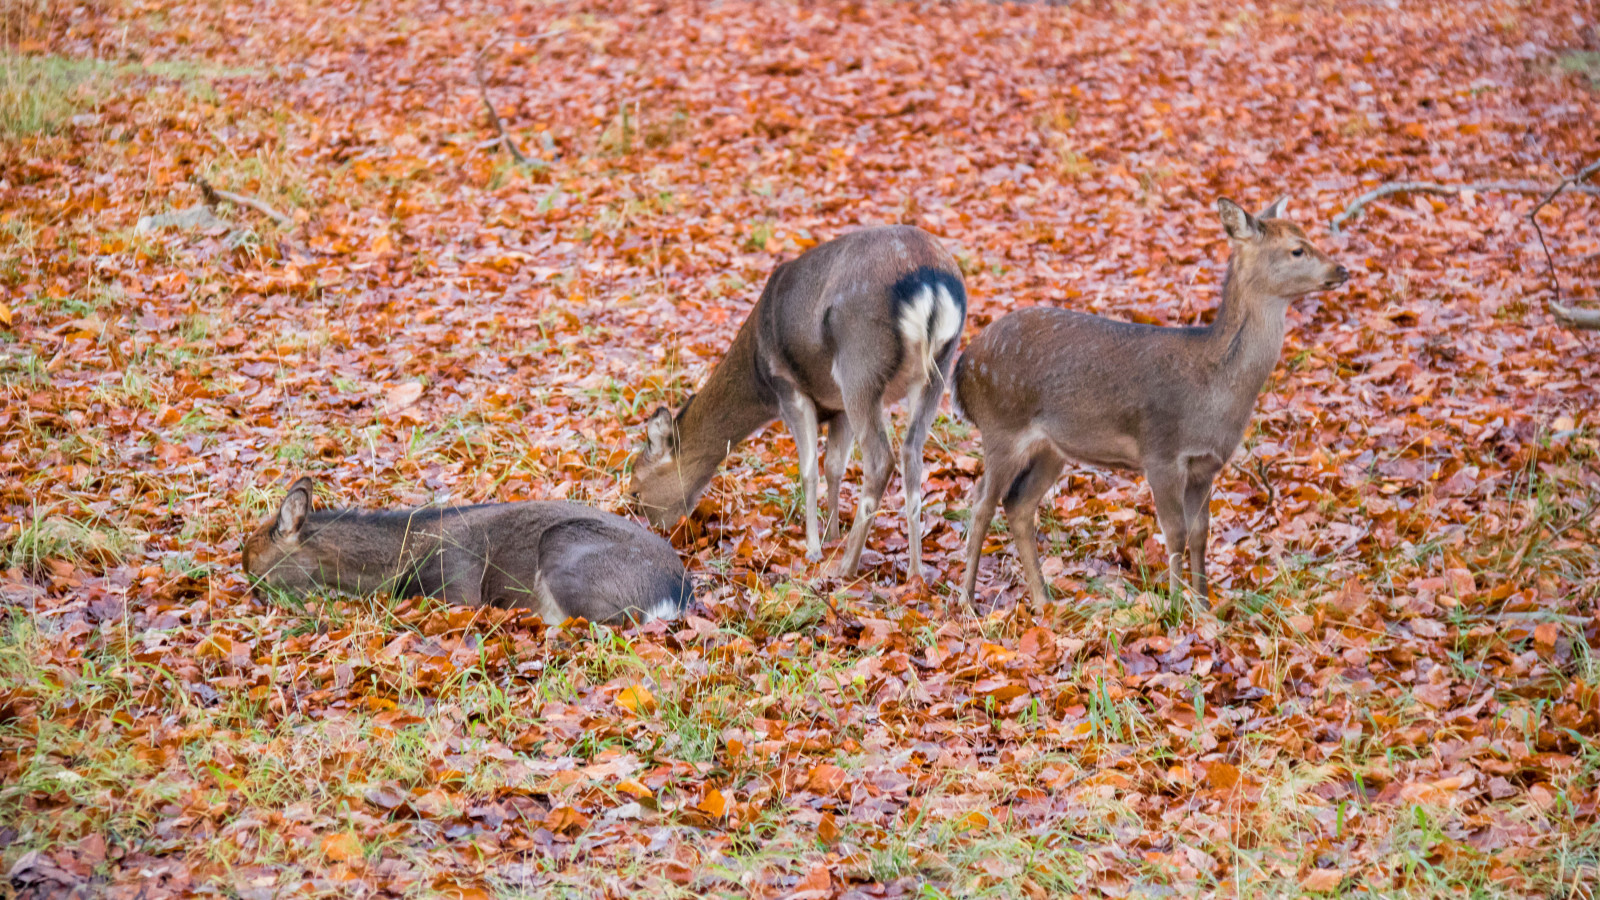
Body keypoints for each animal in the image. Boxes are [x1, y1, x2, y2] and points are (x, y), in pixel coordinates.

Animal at [627, 225, 967, 580]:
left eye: (636, 491)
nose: (661, 532)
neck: (758, 374)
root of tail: (932, 283)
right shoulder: (837, 407)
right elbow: (834, 467)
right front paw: (831, 535)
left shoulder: (789, 389)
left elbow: (809, 470)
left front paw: (814, 548)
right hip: (937, 369)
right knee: (912, 454)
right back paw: (915, 572)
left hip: (860, 365)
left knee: (880, 459)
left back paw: (845, 568)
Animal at [955, 197, 1349, 607]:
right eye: (1297, 249)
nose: (1342, 269)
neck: (1212, 392)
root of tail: (963, 368)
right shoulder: (1161, 453)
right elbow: (1174, 533)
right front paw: (1174, 608)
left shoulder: (1206, 465)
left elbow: (1200, 534)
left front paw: (1204, 607)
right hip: (1001, 425)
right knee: (982, 500)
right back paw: (967, 599)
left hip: (1052, 448)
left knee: (1018, 504)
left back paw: (1044, 601)